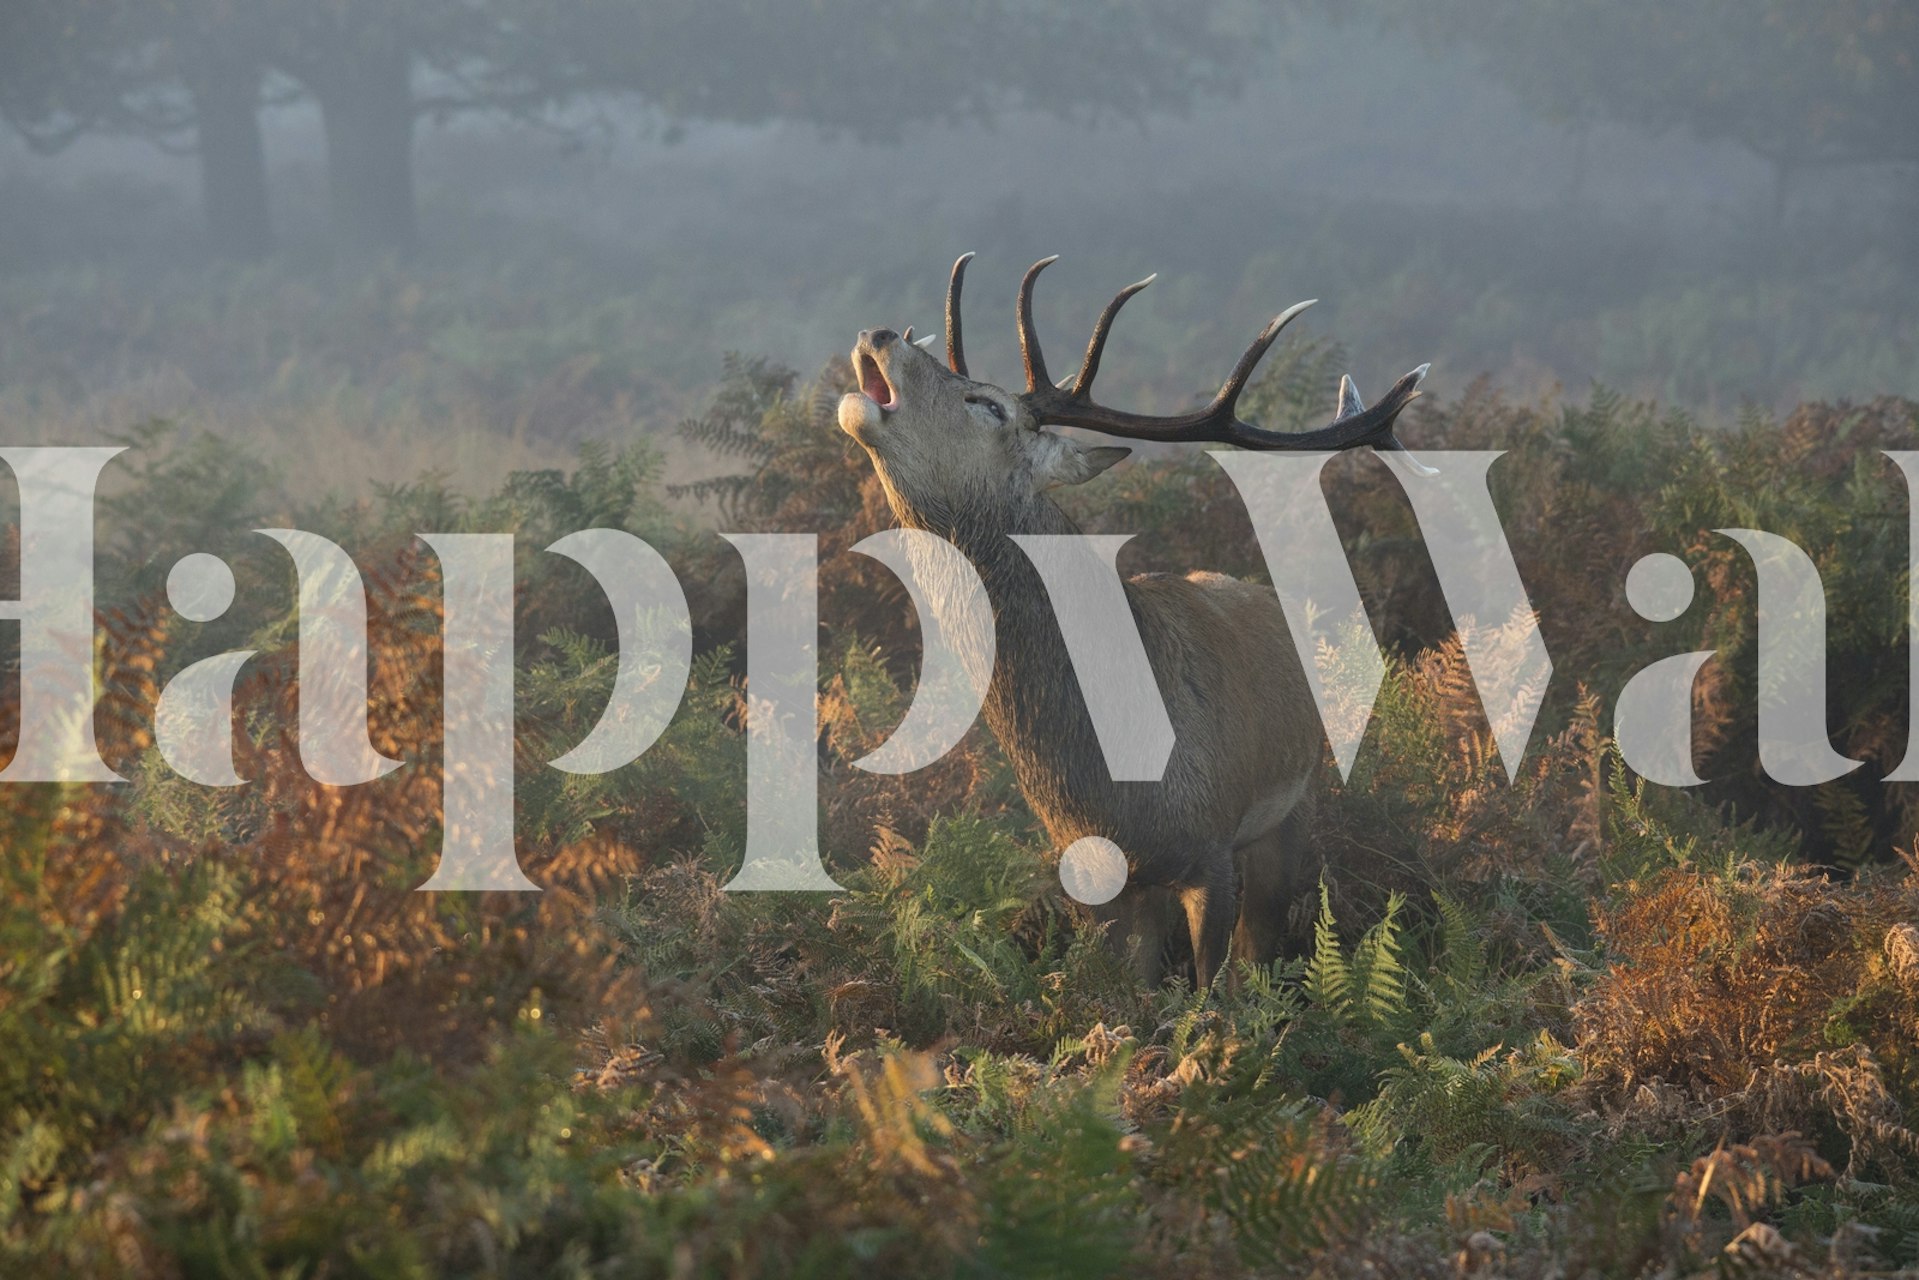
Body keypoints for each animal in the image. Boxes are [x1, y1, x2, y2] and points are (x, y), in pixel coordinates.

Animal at [838, 254, 1429, 986]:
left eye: (987, 403)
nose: (879, 332)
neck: (1117, 782)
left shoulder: (1212, 846)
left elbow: (1211, 990)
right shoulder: (1095, 873)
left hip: (1296, 802)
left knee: (1259, 943)